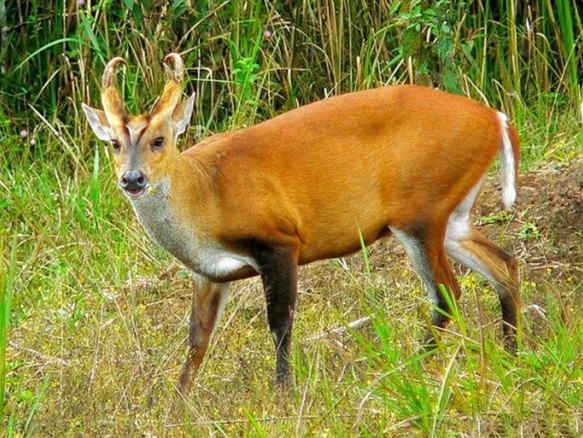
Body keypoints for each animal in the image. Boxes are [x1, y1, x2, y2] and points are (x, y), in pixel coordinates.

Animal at [81, 53, 520, 396]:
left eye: (159, 140)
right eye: (114, 144)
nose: (132, 179)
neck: (205, 195)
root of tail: (495, 117)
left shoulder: (279, 241)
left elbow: (280, 323)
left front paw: (283, 391)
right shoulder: (209, 274)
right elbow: (196, 341)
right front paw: (180, 403)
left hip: (420, 208)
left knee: (448, 291)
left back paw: (410, 368)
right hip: (452, 213)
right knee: (503, 263)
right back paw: (512, 352)